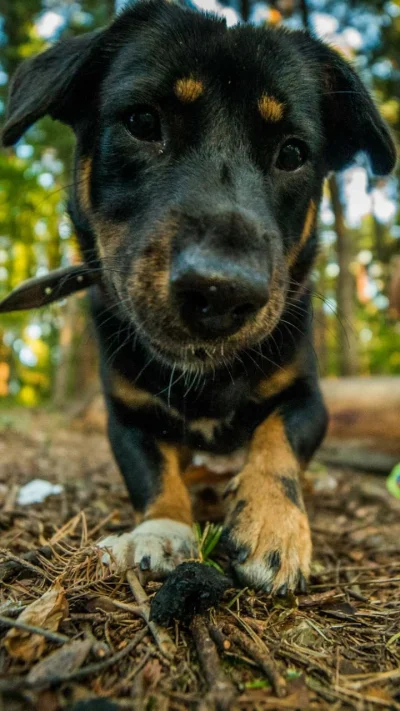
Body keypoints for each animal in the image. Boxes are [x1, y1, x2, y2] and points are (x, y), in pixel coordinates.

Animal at [3, 0, 396, 592]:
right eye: (143, 122)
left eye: (293, 153)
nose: (221, 292)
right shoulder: (129, 416)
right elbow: (153, 474)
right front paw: (163, 527)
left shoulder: (308, 396)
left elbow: (278, 439)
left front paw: (273, 525)